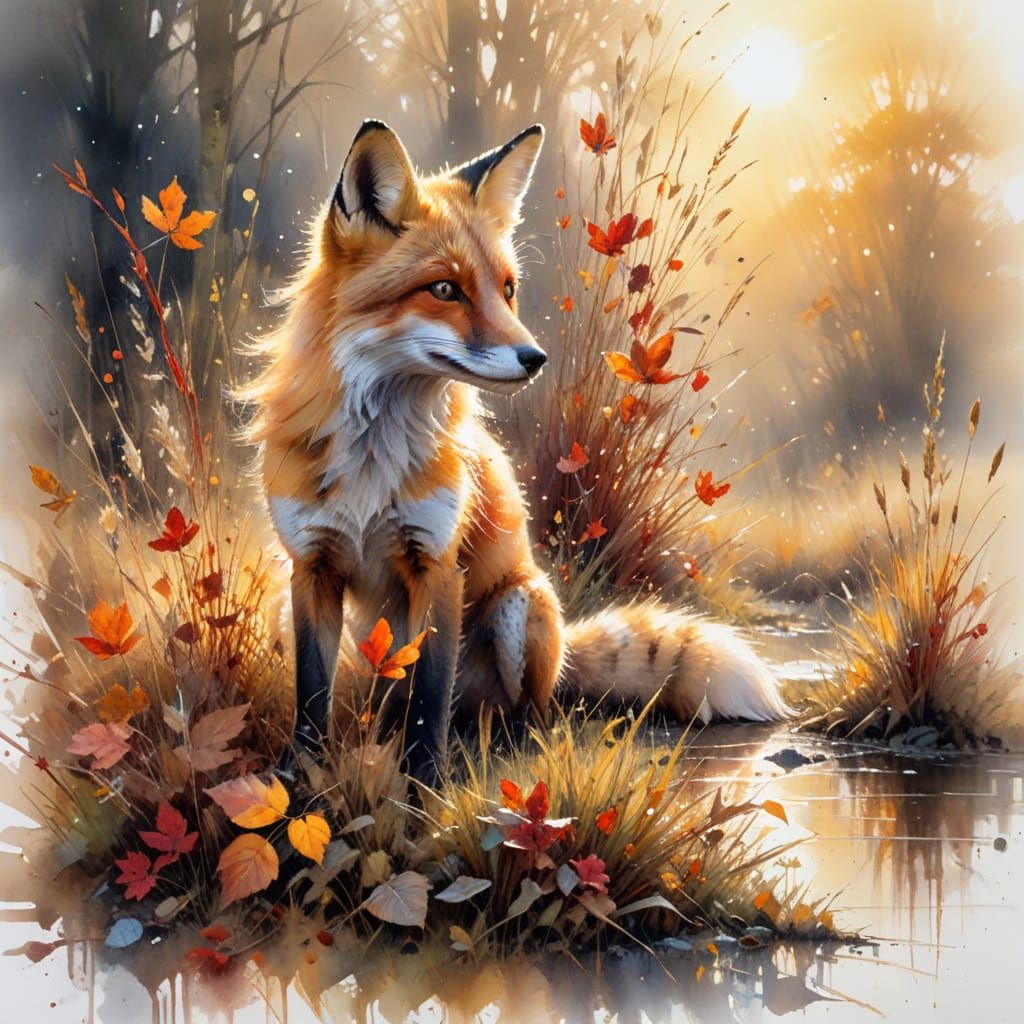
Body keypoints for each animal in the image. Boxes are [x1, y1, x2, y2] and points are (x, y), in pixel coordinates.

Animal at [246, 119, 789, 781]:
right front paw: (298, 779)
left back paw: (504, 749)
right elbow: (311, 695)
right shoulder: (311, 566)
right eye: (444, 288)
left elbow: (429, 701)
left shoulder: (436, 563)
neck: (374, 459)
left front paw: (424, 785)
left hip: (518, 606)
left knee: (526, 714)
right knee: (401, 703)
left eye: (507, 290)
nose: (536, 359)